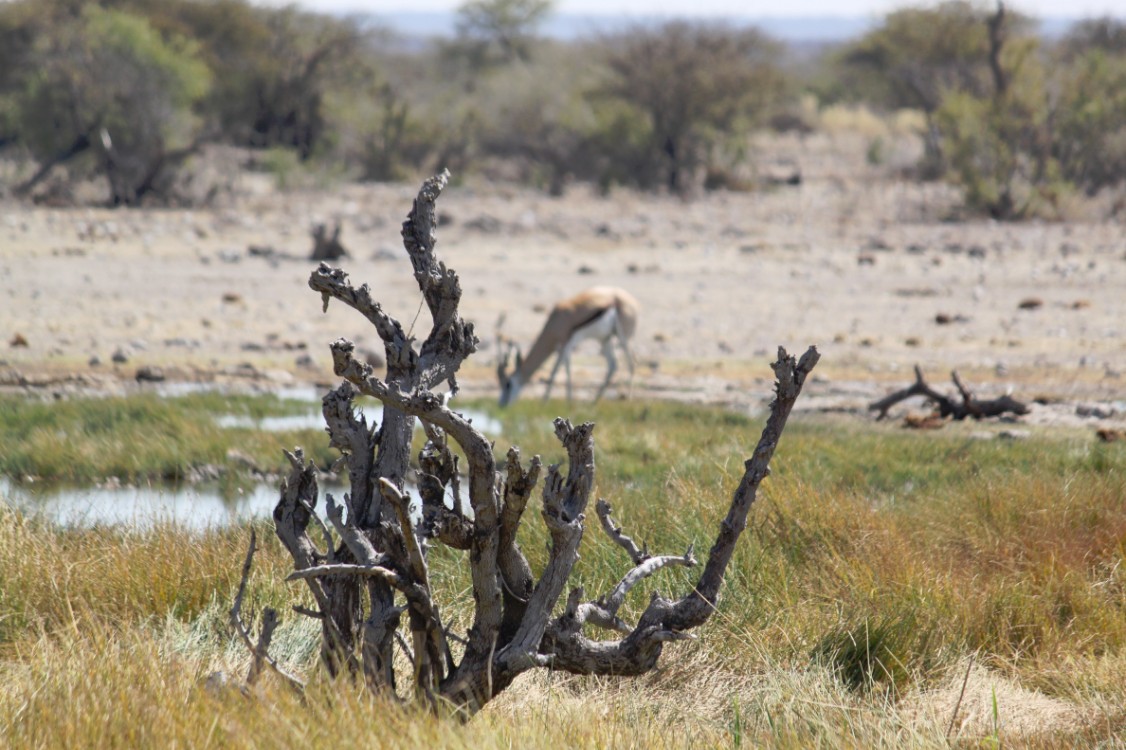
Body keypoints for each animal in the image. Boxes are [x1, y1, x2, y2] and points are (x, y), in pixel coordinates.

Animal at [497, 284, 639, 403]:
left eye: (508, 384)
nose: (501, 404)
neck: (556, 320)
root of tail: (633, 302)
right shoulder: (561, 348)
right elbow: (558, 370)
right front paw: (549, 401)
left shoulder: (566, 345)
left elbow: (563, 370)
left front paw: (564, 402)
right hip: (605, 339)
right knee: (613, 365)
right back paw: (593, 402)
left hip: (623, 338)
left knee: (631, 363)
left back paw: (628, 400)